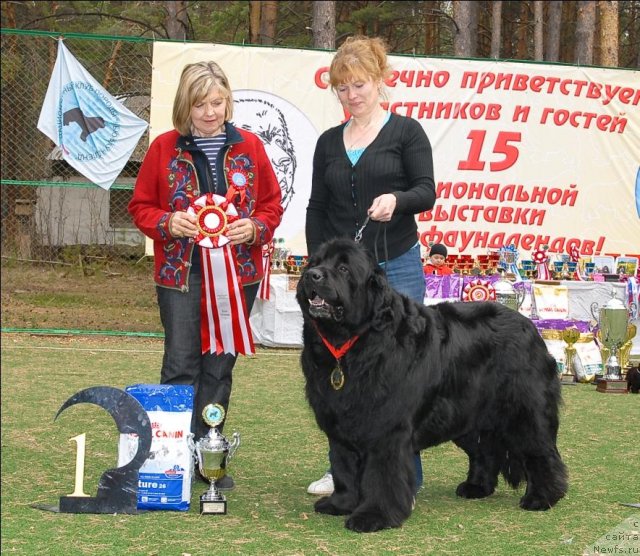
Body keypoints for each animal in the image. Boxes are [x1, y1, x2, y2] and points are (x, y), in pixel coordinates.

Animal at [296, 237, 564, 532]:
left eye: (343, 268)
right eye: (314, 262)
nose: (311, 275)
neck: (352, 342)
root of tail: (531, 328)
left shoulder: (387, 428)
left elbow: (381, 474)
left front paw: (374, 515)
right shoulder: (340, 420)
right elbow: (343, 466)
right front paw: (340, 504)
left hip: (523, 411)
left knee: (541, 453)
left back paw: (542, 497)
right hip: (467, 415)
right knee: (485, 450)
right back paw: (476, 487)